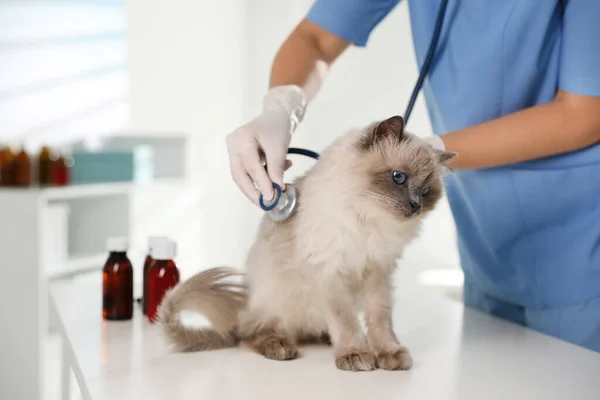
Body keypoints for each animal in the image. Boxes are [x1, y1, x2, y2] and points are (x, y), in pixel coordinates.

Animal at [157, 115, 458, 372]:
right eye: (398, 177)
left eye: (426, 192)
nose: (415, 206)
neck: (370, 221)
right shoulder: (329, 271)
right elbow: (345, 320)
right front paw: (355, 353)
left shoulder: (377, 273)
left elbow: (380, 320)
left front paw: (387, 353)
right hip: (275, 300)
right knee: (249, 335)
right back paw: (281, 346)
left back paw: (326, 339)